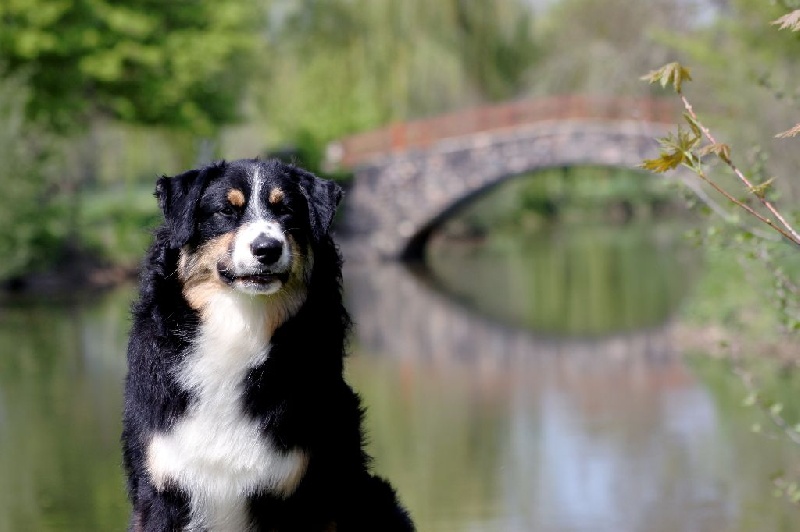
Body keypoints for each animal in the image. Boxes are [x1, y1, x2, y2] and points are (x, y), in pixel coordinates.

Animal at [123, 159, 418, 532]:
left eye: (286, 210)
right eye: (226, 211)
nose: (267, 249)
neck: (241, 326)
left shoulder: (296, 493)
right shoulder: (162, 491)